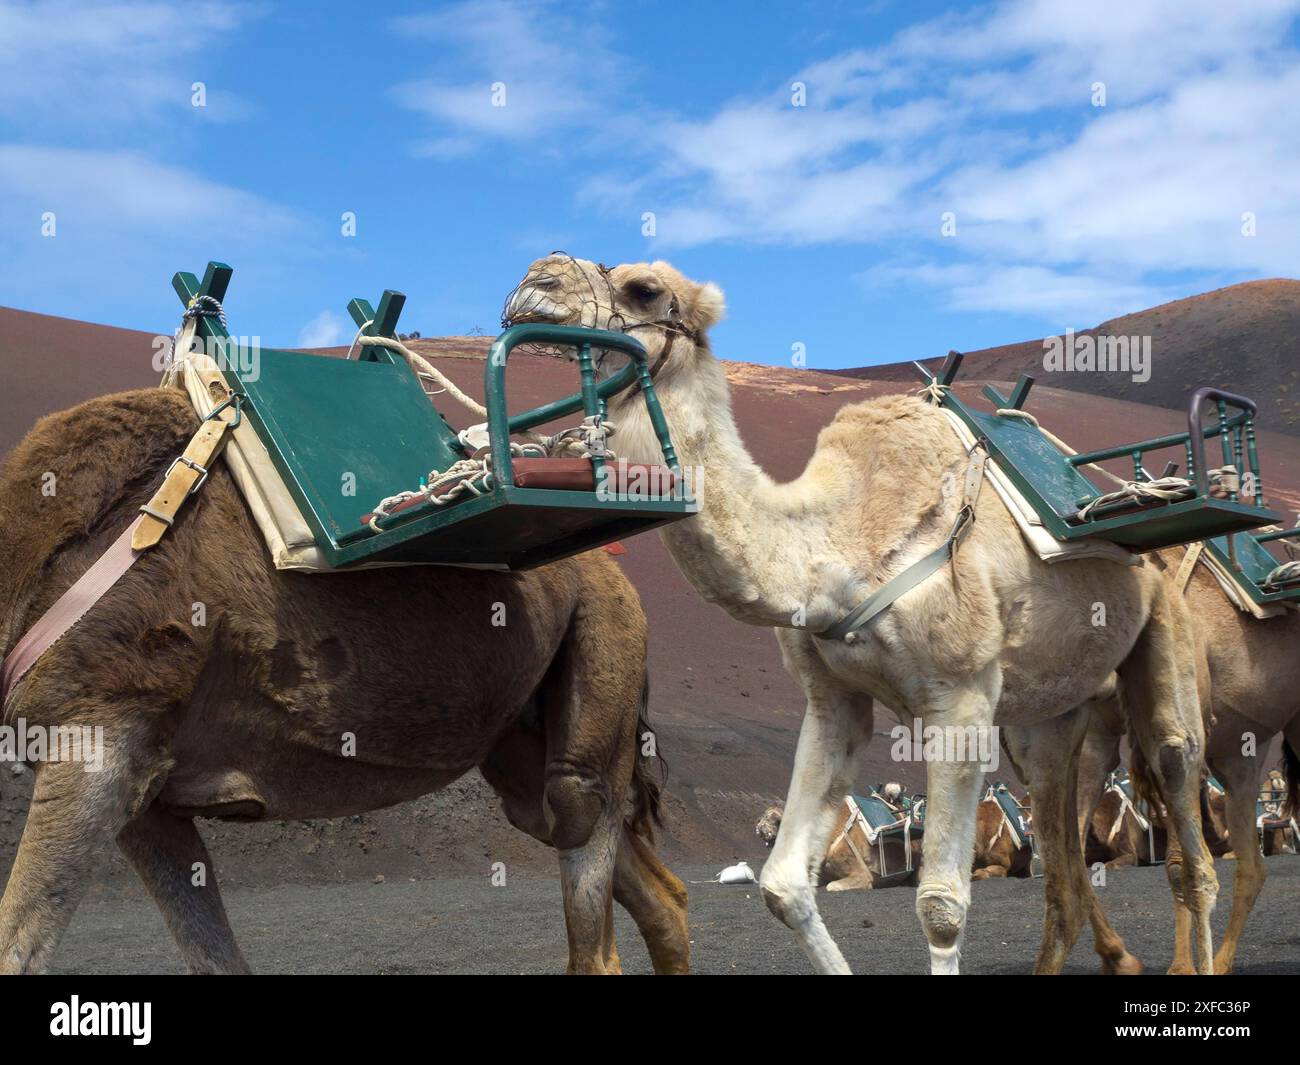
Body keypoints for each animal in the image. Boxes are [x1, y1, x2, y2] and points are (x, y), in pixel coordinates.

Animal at [0, 388, 690, 974]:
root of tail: (617, 578)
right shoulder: (149, 795)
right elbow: (214, 955)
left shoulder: (104, 732)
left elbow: (18, 942)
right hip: (523, 738)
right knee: (647, 884)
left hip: (603, 639)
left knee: (582, 834)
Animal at [503, 253, 1216, 974]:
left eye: (643, 289)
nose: (534, 282)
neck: (833, 547)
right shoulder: (833, 700)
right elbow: (784, 885)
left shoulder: (960, 697)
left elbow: (941, 904)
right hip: (1049, 717)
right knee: (1063, 857)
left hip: (1164, 628)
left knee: (1186, 806)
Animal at [1078, 545, 1300, 973]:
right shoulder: (1096, 739)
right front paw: (1120, 958)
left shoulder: (1183, 736)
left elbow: (1180, 861)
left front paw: (1183, 966)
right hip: (1241, 755)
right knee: (1252, 865)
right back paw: (1223, 961)